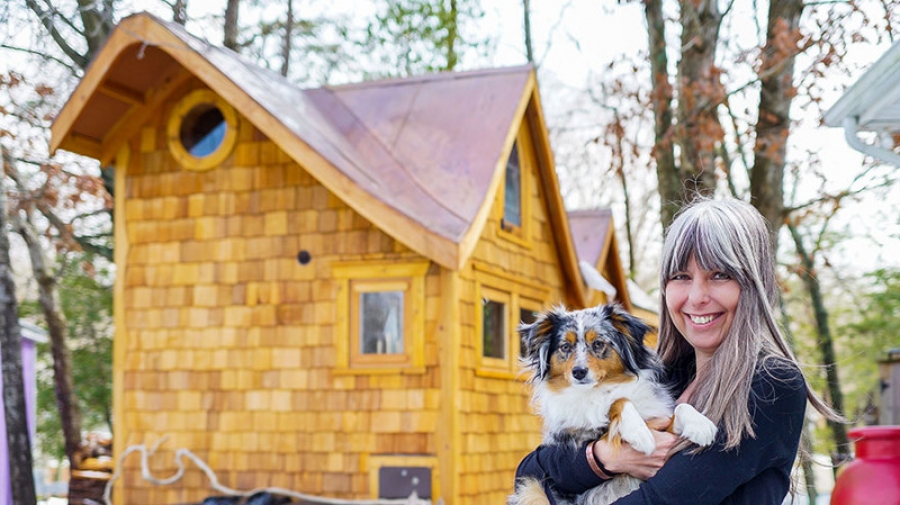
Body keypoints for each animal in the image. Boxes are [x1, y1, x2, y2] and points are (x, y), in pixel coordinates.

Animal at [510, 304, 712, 504]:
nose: (579, 372)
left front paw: (701, 425)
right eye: (565, 346)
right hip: (532, 488)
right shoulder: (588, 434)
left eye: (598, 344)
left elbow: (681, 407)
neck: (601, 389)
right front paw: (639, 433)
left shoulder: (660, 424)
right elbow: (620, 400)